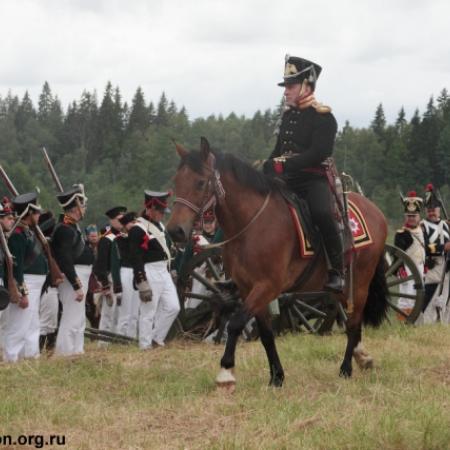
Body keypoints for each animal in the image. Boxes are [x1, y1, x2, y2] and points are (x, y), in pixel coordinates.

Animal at [167, 138, 388, 390]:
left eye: (200, 182)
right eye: (176, 180)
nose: (174, 231)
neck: (252, 223)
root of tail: (375, 211)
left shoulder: (267, 286)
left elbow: (235, 322)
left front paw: (226, 372)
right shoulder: (249, 288)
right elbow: (265, 334)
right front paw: (277, 377)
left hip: (360, 281)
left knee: (353, 322)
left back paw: (346, 368)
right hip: (343, 285)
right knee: (352, 318)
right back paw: (362, 356)